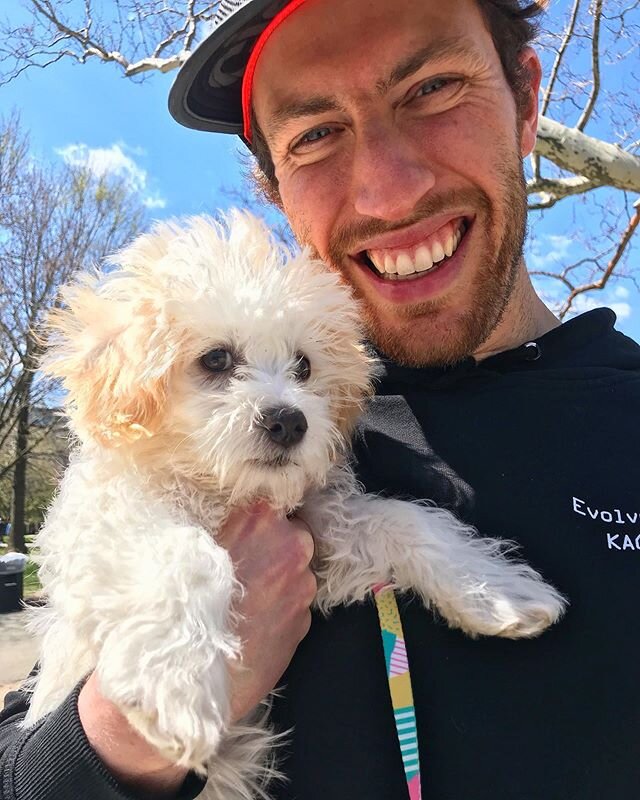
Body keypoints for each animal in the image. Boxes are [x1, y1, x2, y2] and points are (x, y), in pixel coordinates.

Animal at [26, 212, 564, 800]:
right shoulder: (106, 524)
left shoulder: (323, 537)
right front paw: (177, 687)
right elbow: (187, 554)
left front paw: (499, 593)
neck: (223, 490)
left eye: (304, 366)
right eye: (217, 359)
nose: (289, 421)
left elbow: (405, 519)